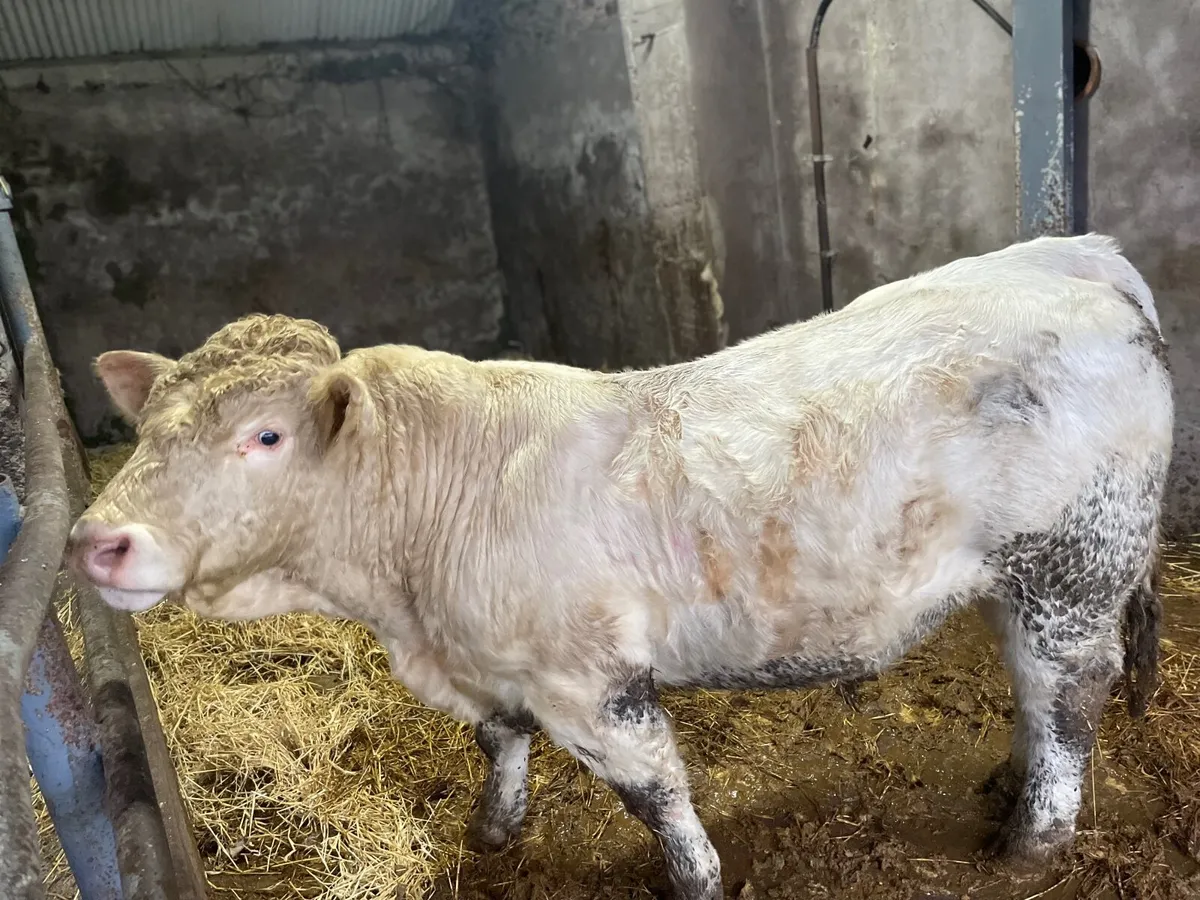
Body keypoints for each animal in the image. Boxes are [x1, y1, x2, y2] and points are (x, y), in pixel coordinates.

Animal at [66, 234, 1172, 900]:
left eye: (263, 436)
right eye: (145, 428)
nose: (95, 542)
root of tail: (1074, 254)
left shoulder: (594, 682)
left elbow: (656, 794)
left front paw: (697, 877)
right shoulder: (495, 663)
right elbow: (499, 742)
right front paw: (494, 832)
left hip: (1074, 567)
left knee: (1070, 698)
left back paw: (1031, 843)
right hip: (1021, 580)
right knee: (1036, 697)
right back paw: (1007, 785)